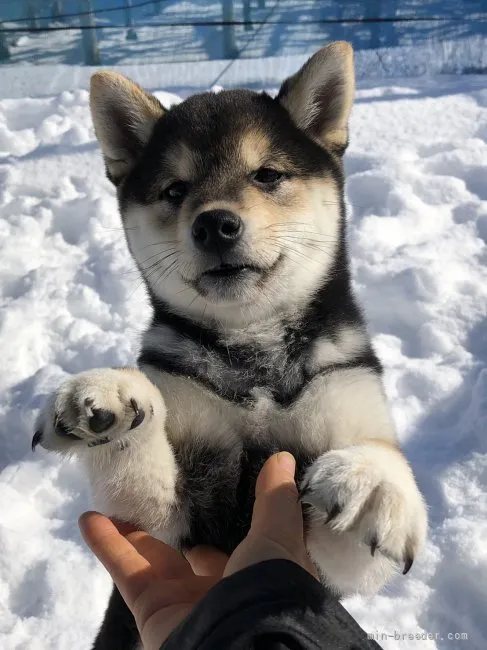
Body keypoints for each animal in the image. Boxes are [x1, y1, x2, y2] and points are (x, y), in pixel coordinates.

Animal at [33, 43, 428, 644]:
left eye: (267, 175)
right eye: (175, 190)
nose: (214, 223)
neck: (253, 356)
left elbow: (352, 534)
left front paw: (375, 483)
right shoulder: (172, 528)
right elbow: (143, 494)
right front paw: (110, 401)